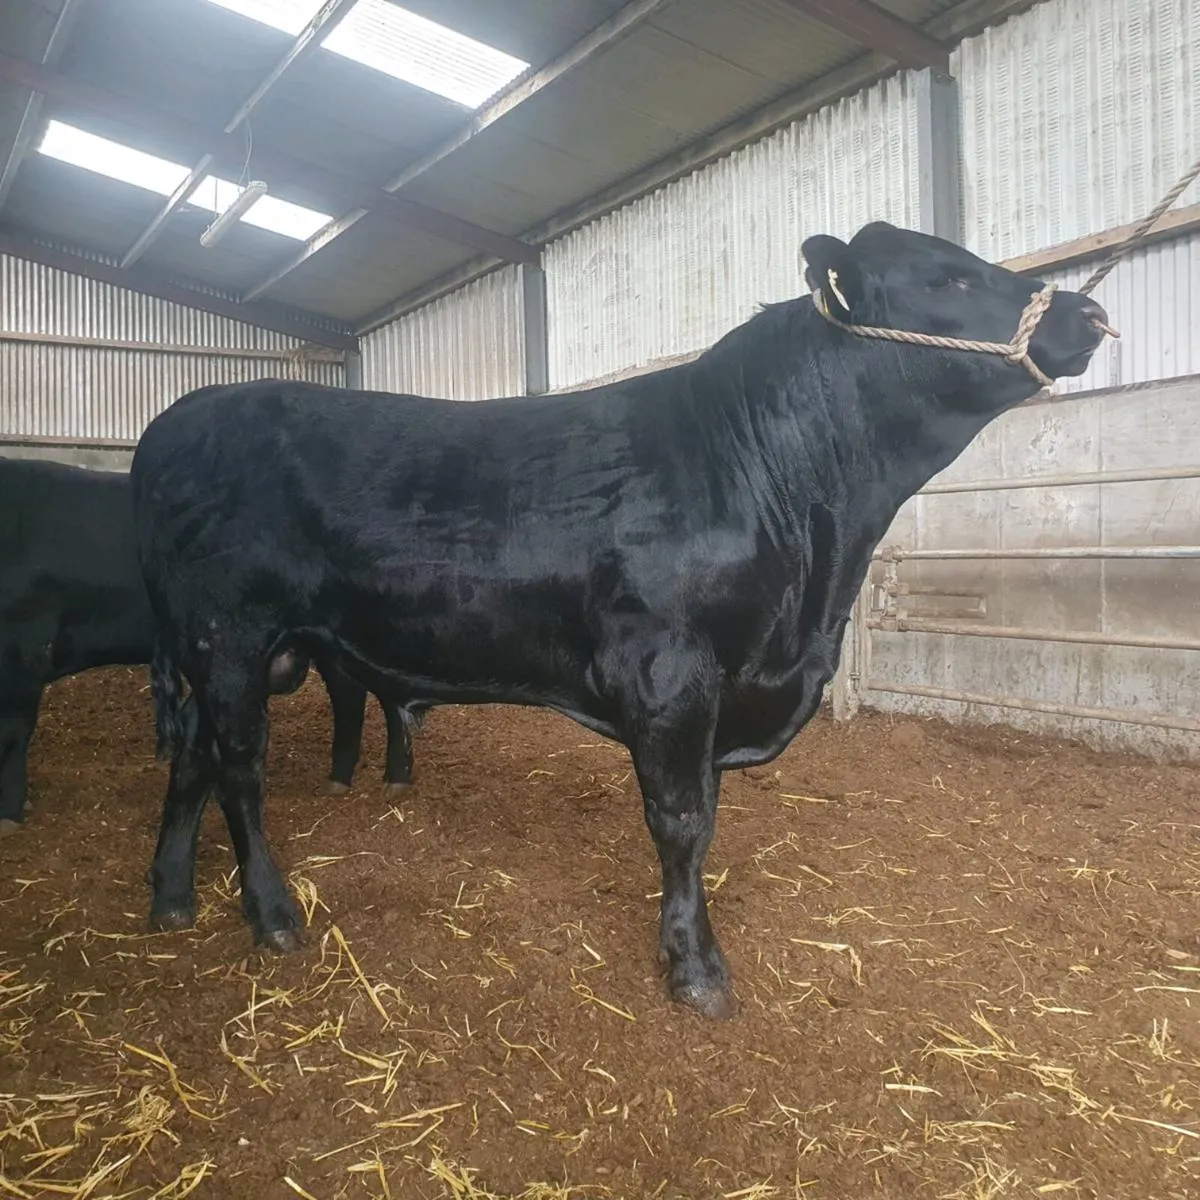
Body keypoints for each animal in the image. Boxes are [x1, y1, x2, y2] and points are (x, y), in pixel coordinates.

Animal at [0, 457, 426, 833]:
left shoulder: (24, 649)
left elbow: (14, 732)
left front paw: (9, 814)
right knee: (352, 695)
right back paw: (342, 779)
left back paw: (392, 779)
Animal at [129, 222, 1110, 1020]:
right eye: (947, 277)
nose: (1089, 310)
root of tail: (174, 420)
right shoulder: (669, 673)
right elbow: (680, 821)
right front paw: (697, 970)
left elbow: (702, 815)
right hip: (231, 637)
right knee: (240, 769)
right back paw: (271, 915)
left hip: (220, 650)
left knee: (194, 758)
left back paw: (172, 896)